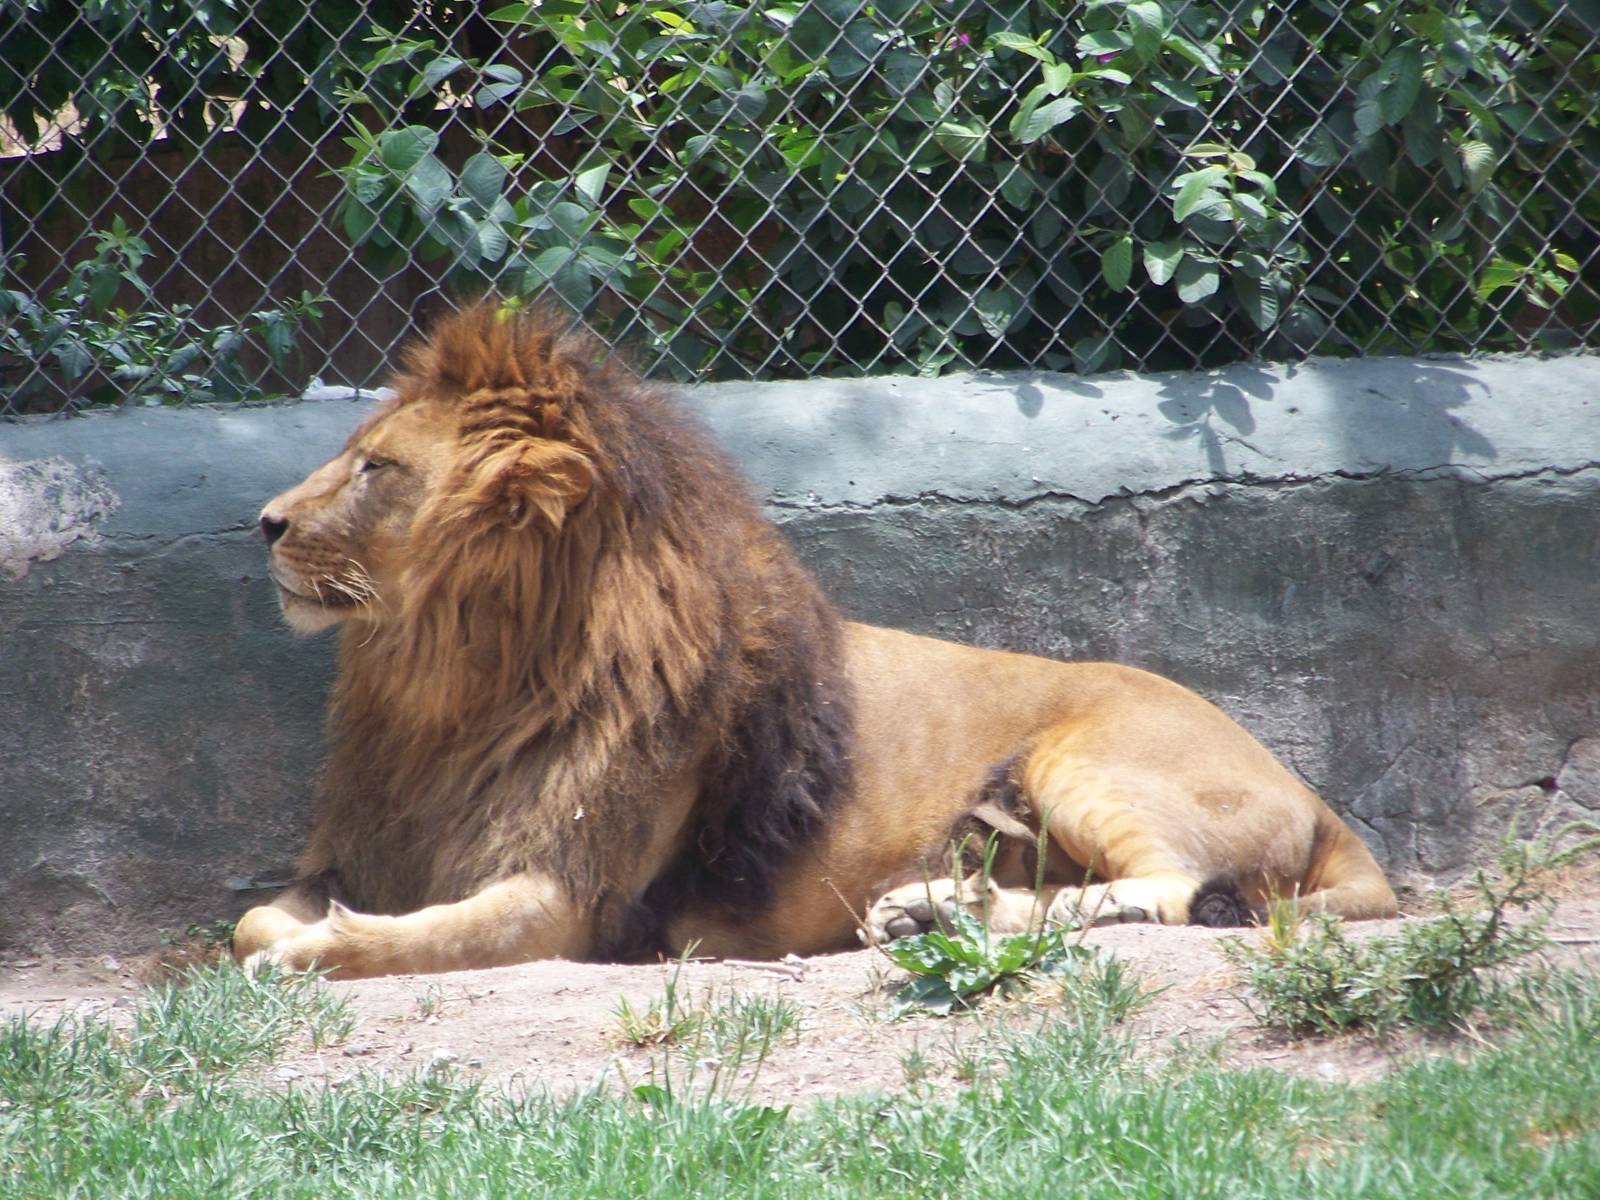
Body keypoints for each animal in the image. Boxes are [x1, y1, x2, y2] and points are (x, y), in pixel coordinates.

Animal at [232, 302, 1396, 978]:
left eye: (376, 468)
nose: (266, 523)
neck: (450, 690)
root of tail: (1326, 808)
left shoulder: (569, 900)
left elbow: (407, 937)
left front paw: (316, 952)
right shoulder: (377, 841)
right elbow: (252, 919)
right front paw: (282, 937)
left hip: (1089, 759)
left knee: (1168, 892)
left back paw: (938, 914)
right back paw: (927, 911)